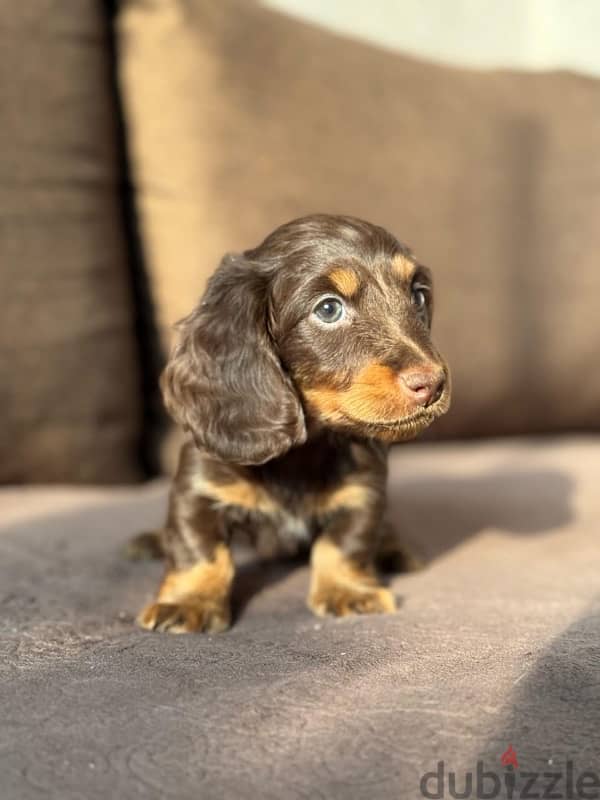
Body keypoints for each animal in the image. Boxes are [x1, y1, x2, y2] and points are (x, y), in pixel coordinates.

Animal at [136, 216, 450, 636]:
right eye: (329, 309)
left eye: (417, 295)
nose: (432, 383)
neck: (301, 452)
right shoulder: (198, 487)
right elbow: (198, 550)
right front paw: (188, 601)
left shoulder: (363, 492)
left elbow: (344, 543)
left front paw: (348, 591)